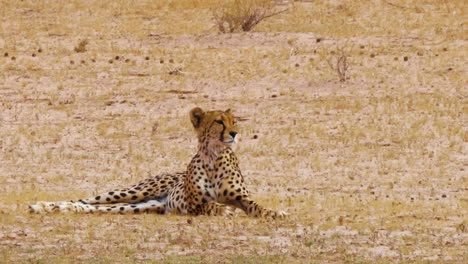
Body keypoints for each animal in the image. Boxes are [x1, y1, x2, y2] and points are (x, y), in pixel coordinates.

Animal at [29, 107, 288, 219]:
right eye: (219, 122)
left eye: (234, 121)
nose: (234, 133)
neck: (214, 156)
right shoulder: (194, 204)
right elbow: (212, 205)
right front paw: (226, 210)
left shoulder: (242, 198)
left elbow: (256, 206)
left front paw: (276, 212)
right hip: (133, 192)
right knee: (84, 200)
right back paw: (43, 206)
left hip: (143, 205)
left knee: (94, 208)